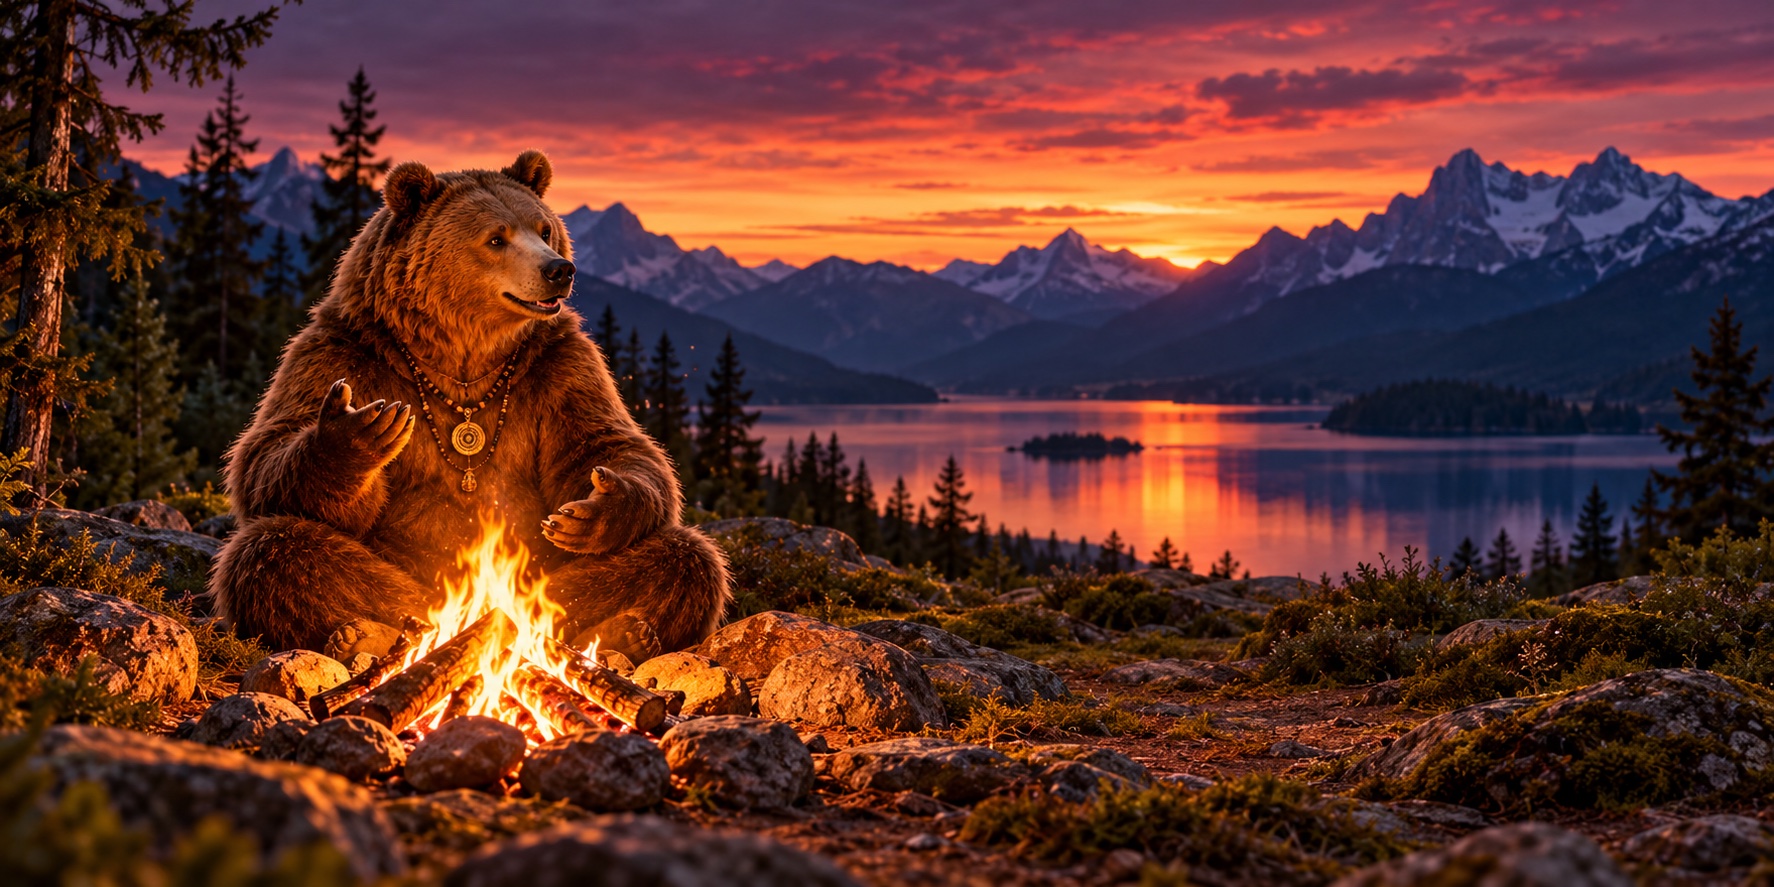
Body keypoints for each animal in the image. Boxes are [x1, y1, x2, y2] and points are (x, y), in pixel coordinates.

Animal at [209, 150, 730, 660]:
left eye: (543, 228)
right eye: (497, 238)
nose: (559, 269)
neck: (462, 351)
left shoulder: (558, 366)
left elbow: (604, 445)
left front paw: (593, 510)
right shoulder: (343, 352)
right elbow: (266, 455)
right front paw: (356, 435)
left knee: (686, 556)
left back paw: (623, 631)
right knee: (275, 550)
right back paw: (368, 632)